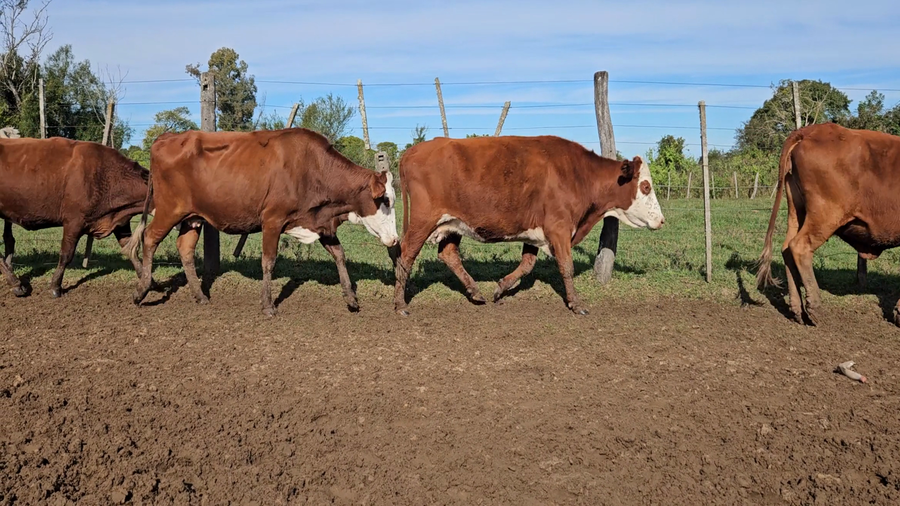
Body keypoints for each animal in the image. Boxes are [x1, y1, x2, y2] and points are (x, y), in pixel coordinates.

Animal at [0, 137, 149, 297]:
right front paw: (55, 286)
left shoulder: (120, 223)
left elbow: (131, 250)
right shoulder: (74, 222)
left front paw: (147, 281)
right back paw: (16, 284)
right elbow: (66, 255)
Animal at [128, 127, 400, 316]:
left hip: (193, 217)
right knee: (149, 238)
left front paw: (351, 298)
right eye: (385, 199)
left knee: (185, 249)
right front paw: (268, 305)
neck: (311, 168)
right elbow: (268, 262)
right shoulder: (273, 220)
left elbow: (340, 255)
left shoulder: (320, 222)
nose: (395, 239)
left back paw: (200, 296)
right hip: (169, 210)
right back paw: (142, 290)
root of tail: (168, 137)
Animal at [392, 135, 665, 316]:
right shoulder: (559, 228)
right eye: (645, 186)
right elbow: (567, 267)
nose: (661, 220)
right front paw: (576, 304)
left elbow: (527, 264)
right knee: (406, 255)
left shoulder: (536, 232)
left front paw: (501, 288)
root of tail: (413, 151)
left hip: (452, 224)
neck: (578, 174)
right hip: (423, 220)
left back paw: (475, 292)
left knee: (448, 254)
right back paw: (400, 304)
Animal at [757, 123, 900, 326]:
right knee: (799, 247)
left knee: (786, 249)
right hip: (825, 215)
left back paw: (798, 310)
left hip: (796, 212)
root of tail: (809, 131)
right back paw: (816, 309)